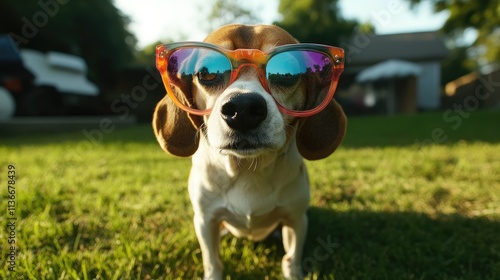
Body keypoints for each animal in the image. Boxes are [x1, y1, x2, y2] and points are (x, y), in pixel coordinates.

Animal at [152, 24, 346, 280]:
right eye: (207, 73)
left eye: (287, 74)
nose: (242, 108)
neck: (247, 170)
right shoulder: (205, 220)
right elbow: (213, 262)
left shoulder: (296, 219)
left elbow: (291, 259)